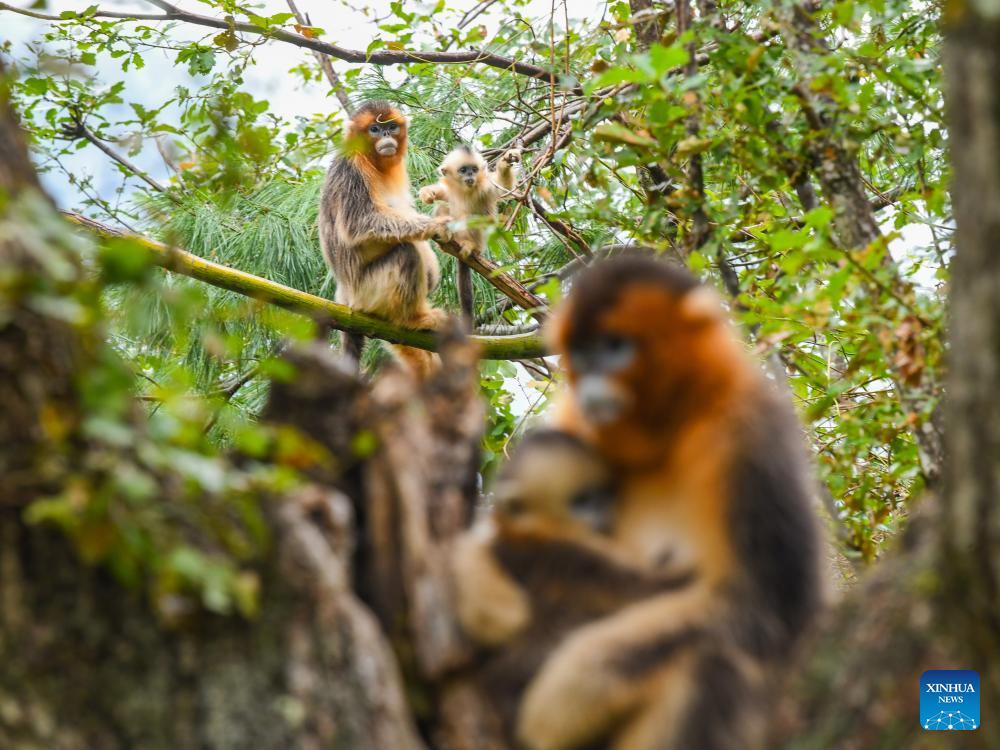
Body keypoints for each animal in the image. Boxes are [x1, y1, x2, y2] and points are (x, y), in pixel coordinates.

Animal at [318, 101, 452, 376]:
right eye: (374, 129)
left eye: (390, 126)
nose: (386, 136)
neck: (372, 161)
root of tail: (345, 296)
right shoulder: (350, 169)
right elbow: (360, 222)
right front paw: (436, 225)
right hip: (368, 293)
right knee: (406, 253)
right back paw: (412, 319)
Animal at [418, 145, 520, 324]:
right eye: (463, 170)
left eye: (474, 169)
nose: (470, 175)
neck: (464, 191)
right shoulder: (449, 190)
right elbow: (441, 194)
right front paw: (427, 193)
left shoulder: (486, 188)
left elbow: (504, 186)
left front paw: (506, 161)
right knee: (443, 207)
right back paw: (444, 233)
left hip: (480, 241)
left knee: (471, 219)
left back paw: (469, 245)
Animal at [512, 254, 824, 750]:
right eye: (580, 352)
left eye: (615, 346)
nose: (591, 381)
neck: (665, 436)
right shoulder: (574, 422)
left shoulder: (750, 432)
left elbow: (765, 606)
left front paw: (571, 689)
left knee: (713, 660)